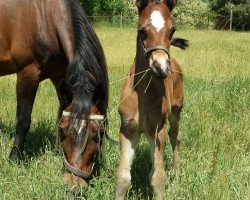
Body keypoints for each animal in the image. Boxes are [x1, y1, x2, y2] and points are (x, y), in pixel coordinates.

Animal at [0, 0, 108, 188]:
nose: (74, 185)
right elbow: (22, 121)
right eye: (65, 131)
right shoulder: (27, 74)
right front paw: (15, 158)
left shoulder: (60, 77)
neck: (44, 17)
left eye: (98, 134)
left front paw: (58, 152)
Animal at [115, 0, 188, 199]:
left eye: (172, 30)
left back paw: (176, 178)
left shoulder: (158, 129)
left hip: (176, 112)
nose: (161, 66)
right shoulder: (127, 129)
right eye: (142, 30)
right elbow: (123, 178)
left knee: (175, 136)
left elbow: (159, 178)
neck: (142, 93)